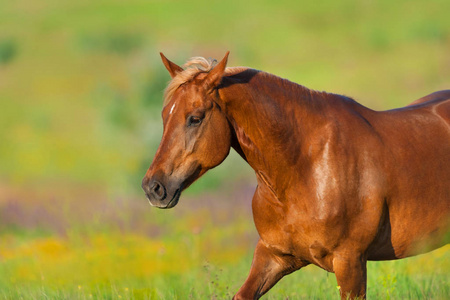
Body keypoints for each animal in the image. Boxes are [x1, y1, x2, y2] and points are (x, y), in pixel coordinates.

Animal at [143, 52, 450, 298]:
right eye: (165, 116)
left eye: (194, 118)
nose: (153, 188)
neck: (304, 169)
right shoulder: (274, 256)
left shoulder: (350, 262)